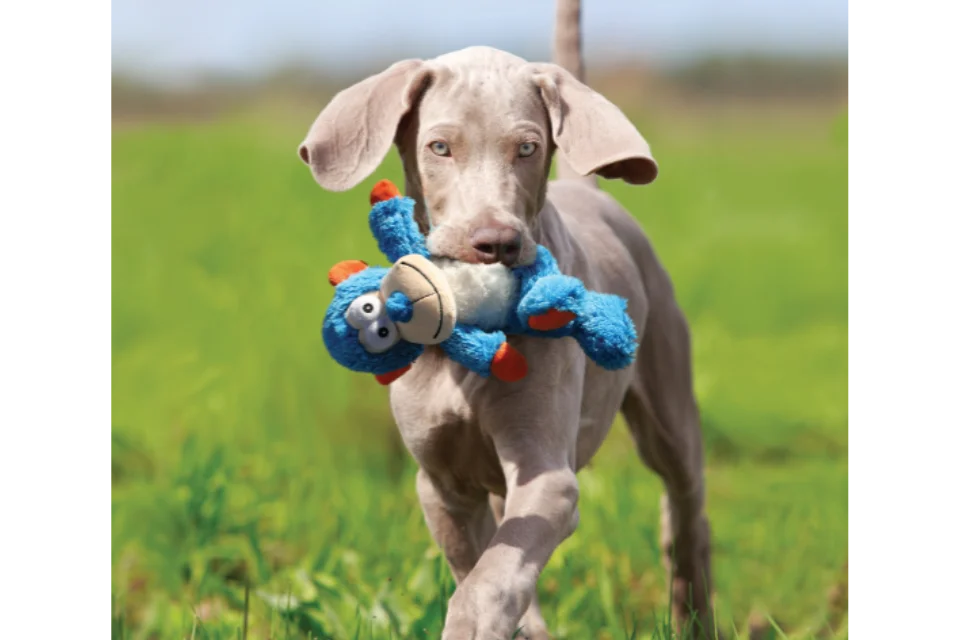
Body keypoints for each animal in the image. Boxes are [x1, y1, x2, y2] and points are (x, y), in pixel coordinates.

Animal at [300, 2, 720, 636]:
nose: (494, 242)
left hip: (668, 398)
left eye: (527, 148)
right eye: (439, 147)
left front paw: (474, 623)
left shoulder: (549, 476)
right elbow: (482, 564)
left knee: (685, 511)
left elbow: (492, 576)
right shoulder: (442, 484)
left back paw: (692, 611)